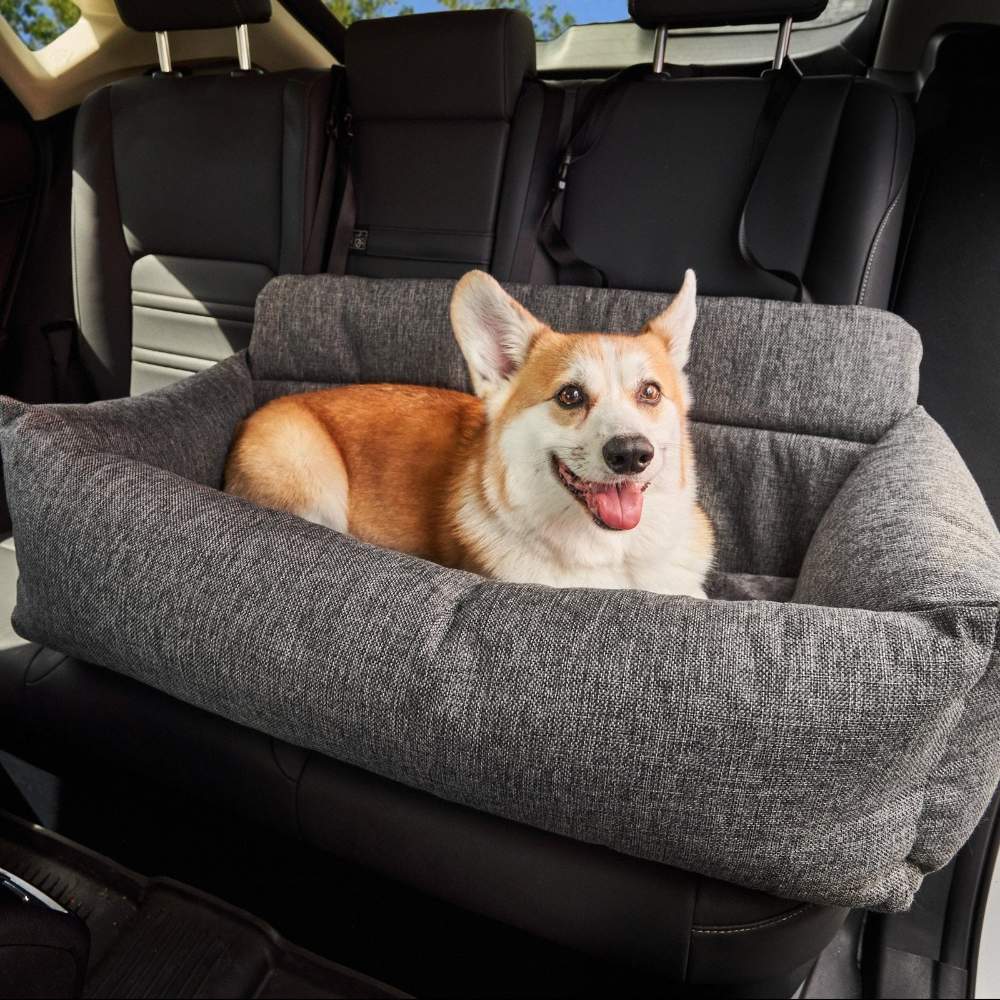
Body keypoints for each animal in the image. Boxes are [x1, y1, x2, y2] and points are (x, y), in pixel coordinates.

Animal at [225, 268, 712, 592]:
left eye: (650, 392)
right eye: (570, 396)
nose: (631, 453)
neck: (615, 555)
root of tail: (260, 412)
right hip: (312, 483)